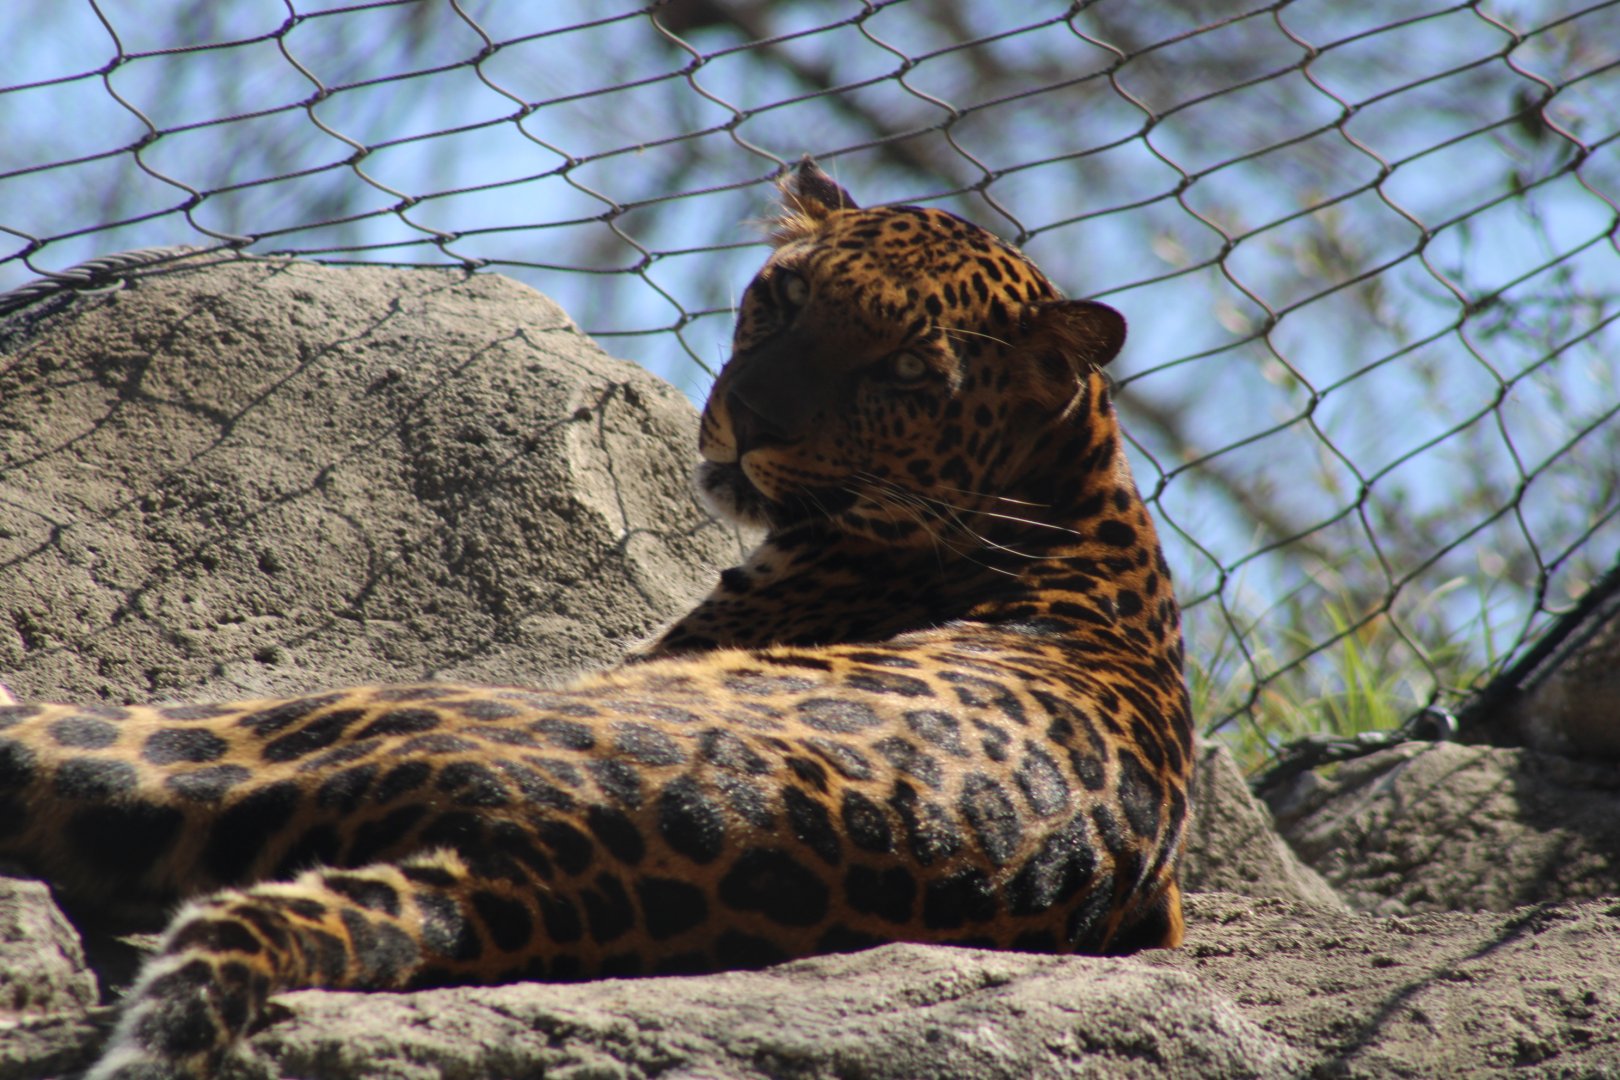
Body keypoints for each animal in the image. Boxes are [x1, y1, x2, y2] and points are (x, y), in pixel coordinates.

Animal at [0, 159, 1193, 1079]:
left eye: (908, 369)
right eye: (784, 295)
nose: (749, 418)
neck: (1076, 478)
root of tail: (530, 874)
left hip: (284, 726)